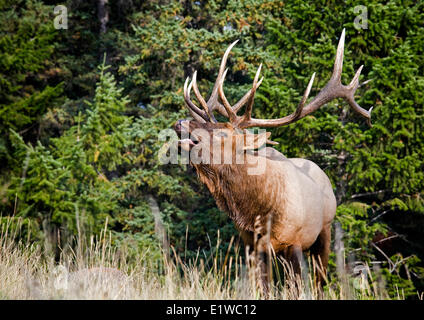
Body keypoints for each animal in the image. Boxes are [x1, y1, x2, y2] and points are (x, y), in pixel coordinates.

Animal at [172, 30, 372, 292]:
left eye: (223, 133)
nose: (181, 123)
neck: (257, 212)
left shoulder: (294, 242)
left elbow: (298, 288)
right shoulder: (251, 245)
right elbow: (263, 288)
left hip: (325, 231)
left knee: (319, 280)